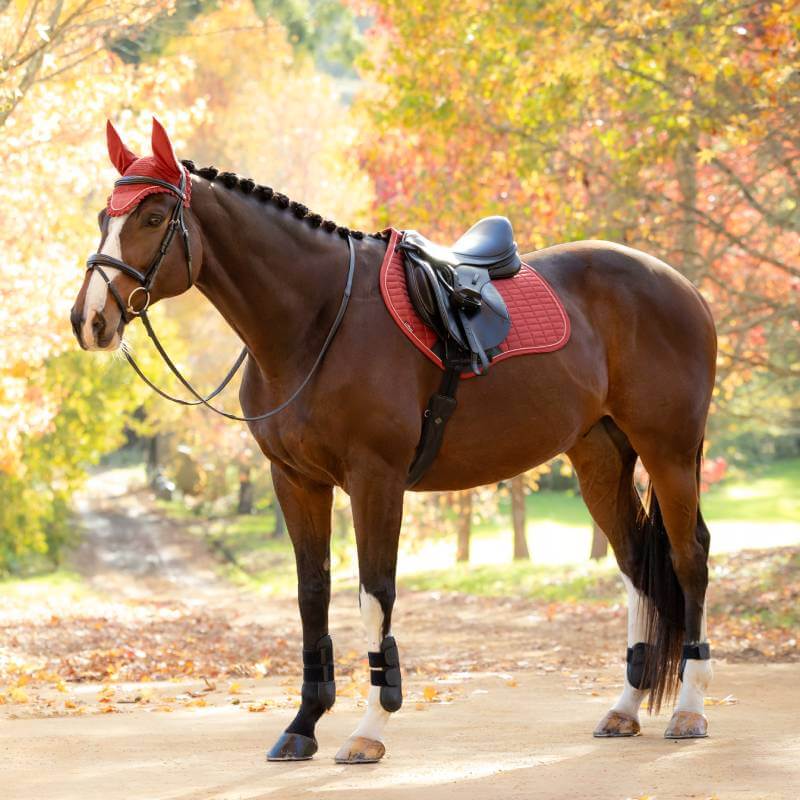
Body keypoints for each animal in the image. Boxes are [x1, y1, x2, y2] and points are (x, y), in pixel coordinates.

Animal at [71, 118, 716, 763]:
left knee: (689, 558)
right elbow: (312, 595)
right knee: (635, 565)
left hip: (669, 452)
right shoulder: (295, 481)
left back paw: (688, 709)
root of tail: (681, 285)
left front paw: (369, 728)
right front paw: (303, 724)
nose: (89, 320)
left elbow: (373, 594)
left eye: (154, 218)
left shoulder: (374, 479)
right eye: (105, 215)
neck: (317, 322)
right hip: (599, 456)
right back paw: (625, 708)